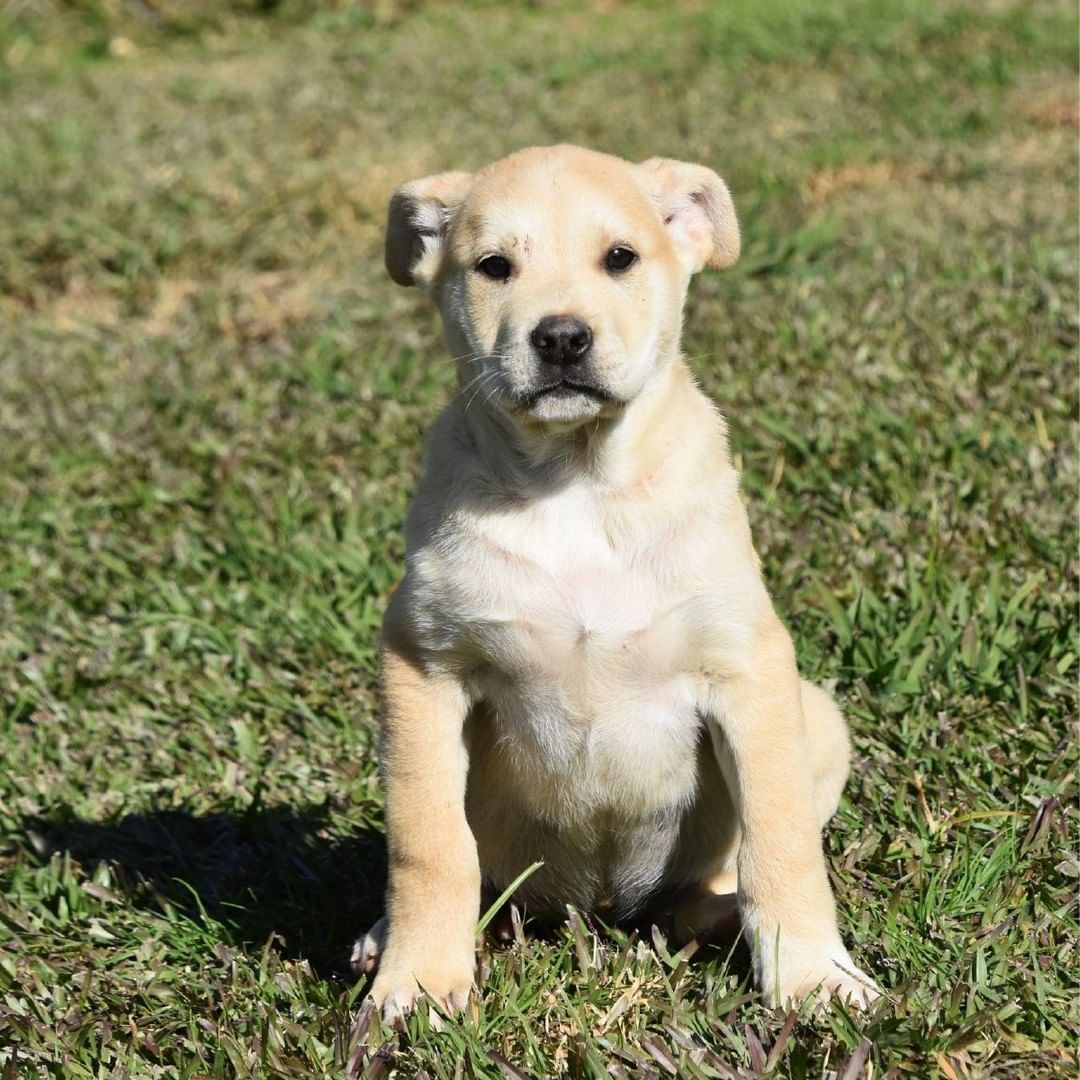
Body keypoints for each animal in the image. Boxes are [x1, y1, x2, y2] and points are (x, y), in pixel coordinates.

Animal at [354, 145, 876, 1019]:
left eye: (621, 258)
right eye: (493, 266)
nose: (562, 337)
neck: (577, 486)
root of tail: (602, 911)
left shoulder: (747, 668)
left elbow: (781, 839)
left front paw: (812, 978)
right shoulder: (423, 663)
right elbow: (429, 844)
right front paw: (418, 982)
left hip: (819, 719)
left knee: (721, 876)